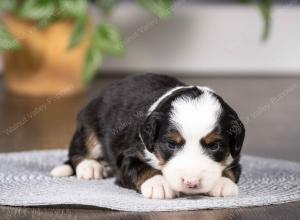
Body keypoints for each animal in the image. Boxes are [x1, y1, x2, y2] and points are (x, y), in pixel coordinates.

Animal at [51, 73, 244, 199]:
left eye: (214, 146)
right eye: (171, 144)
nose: (191, 183)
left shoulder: (235, 156)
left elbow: (231, 170)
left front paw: (223, 184)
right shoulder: (129, 154)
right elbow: (141, 168)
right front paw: (158, 184)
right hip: (89, 123)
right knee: (79, 151)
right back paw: (90, 167)